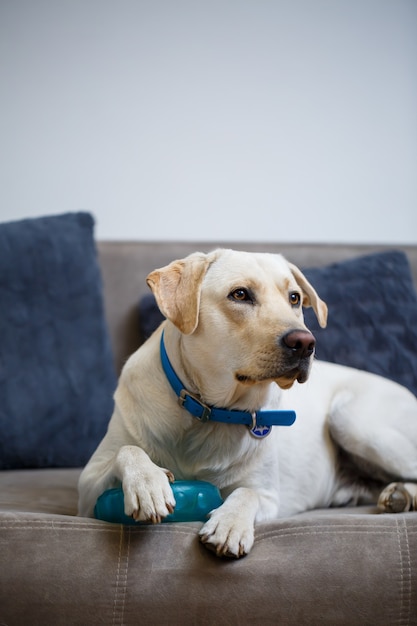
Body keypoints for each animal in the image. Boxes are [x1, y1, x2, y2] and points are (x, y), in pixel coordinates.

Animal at [78, 249, 416, 556]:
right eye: (240, 294)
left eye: (294, 298)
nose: (305, 343)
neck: (212, 411)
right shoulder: (87, 488)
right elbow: (127, 450)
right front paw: (147, 483)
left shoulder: (268, 495)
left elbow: (246, 493)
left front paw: (230, 525)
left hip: (352, 421)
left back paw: (401, 494)